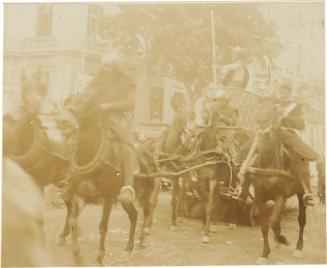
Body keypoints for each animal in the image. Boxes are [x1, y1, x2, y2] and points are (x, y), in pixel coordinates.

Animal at [241, 98, 312, 264]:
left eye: (274, 109)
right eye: (259, 107)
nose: (261, 121)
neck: (269, 163)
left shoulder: (281, 195)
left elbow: (273, 220)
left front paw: (282, 239)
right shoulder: (260, 197)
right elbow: (265, 225)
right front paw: (264, 253)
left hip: (300, 192)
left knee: (301, 219)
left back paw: (298, 248)